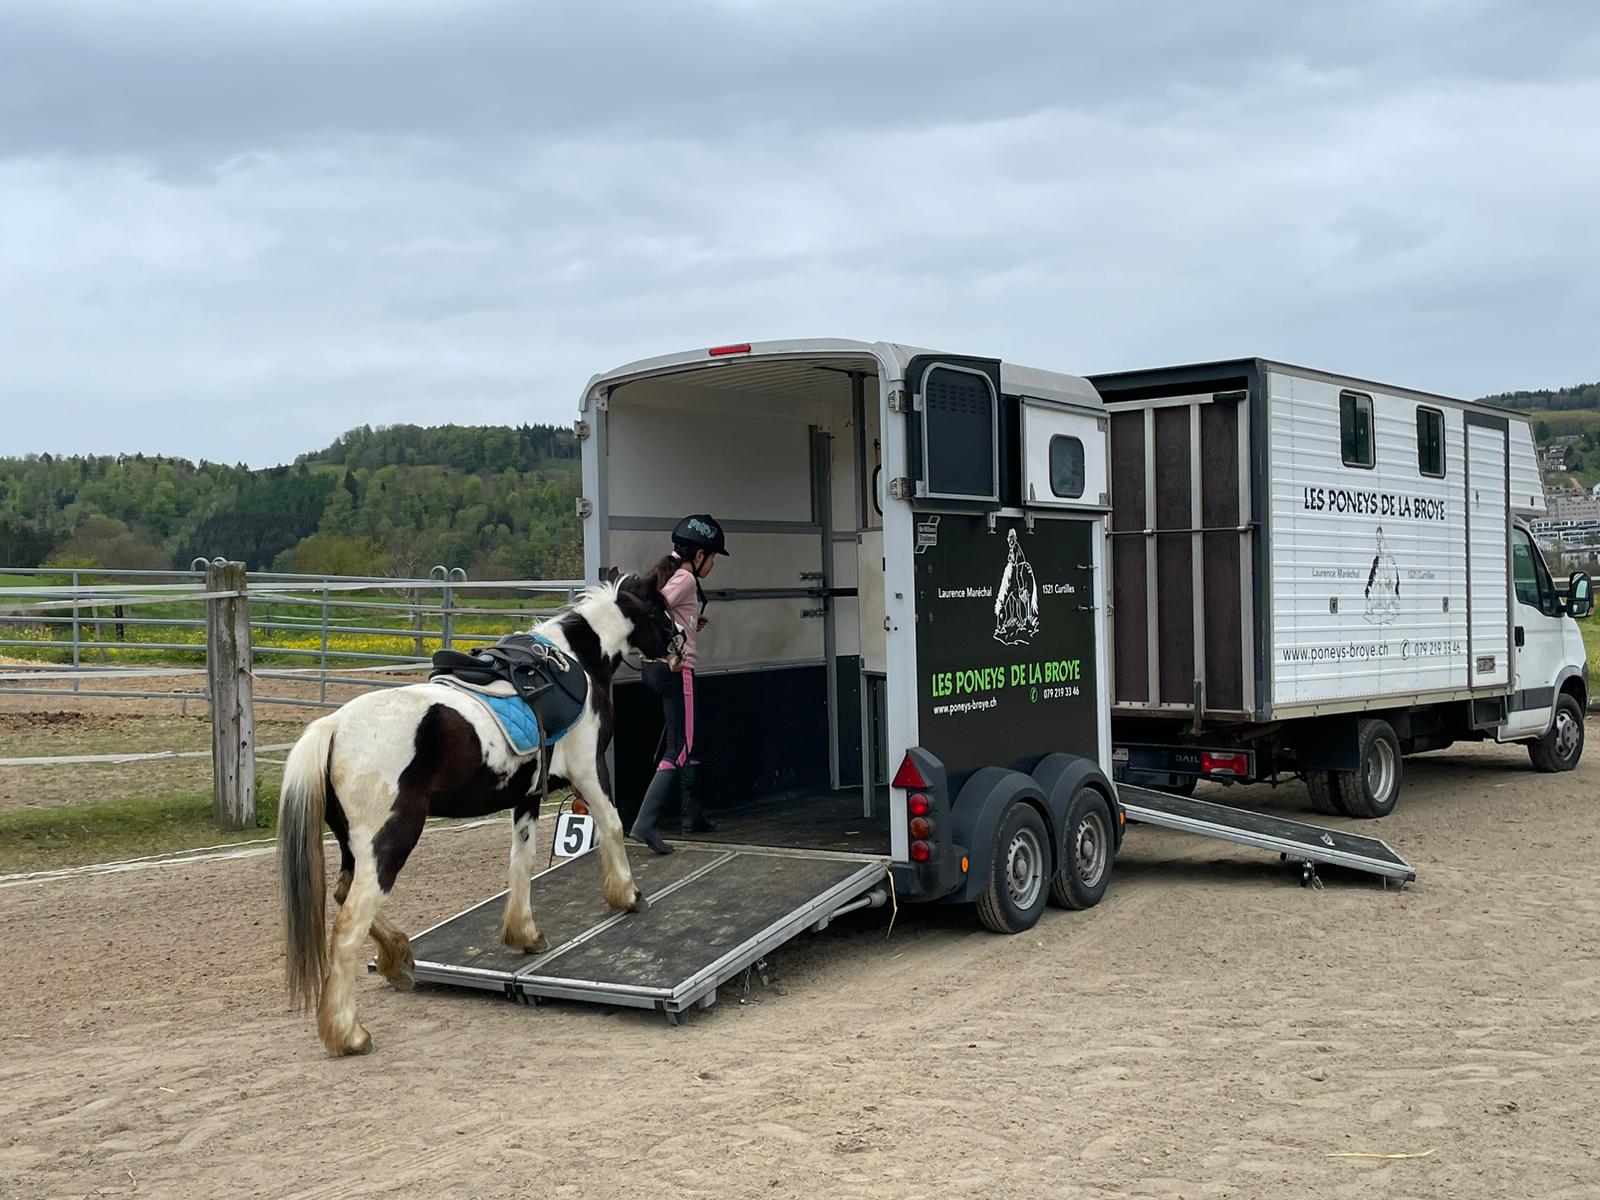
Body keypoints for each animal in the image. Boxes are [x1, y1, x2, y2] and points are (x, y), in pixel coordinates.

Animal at [277, 573, 682, 1057]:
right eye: (660, 608)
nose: (680, 642)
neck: (576, 660)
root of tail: (334, 726)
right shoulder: (589, 769)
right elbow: (613, 826)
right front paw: (627, 895)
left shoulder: (527, 796)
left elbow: (521, 863)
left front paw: (524, 933)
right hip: (391, 841)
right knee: (348, 924)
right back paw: (349, 1033)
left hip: (354, 846)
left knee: (342, 894)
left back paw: (398, 957)